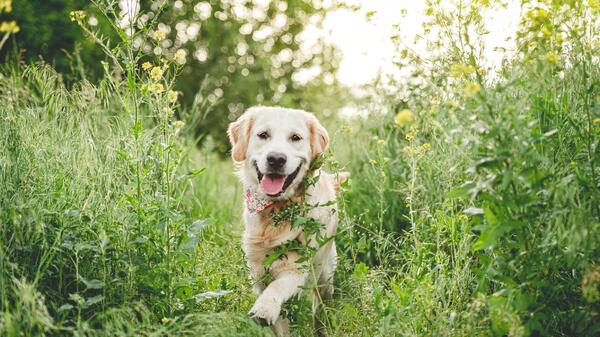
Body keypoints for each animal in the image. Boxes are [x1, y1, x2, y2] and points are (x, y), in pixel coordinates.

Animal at [227, 106, 344, 334]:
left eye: (295, 138)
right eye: (263, 135)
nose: (276, 159)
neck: (276, 210)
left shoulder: (297, 266)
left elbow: (278, 287)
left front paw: (264, 309)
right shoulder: (257, 272)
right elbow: (280, 322)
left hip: (324, 276)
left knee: (321, 307)